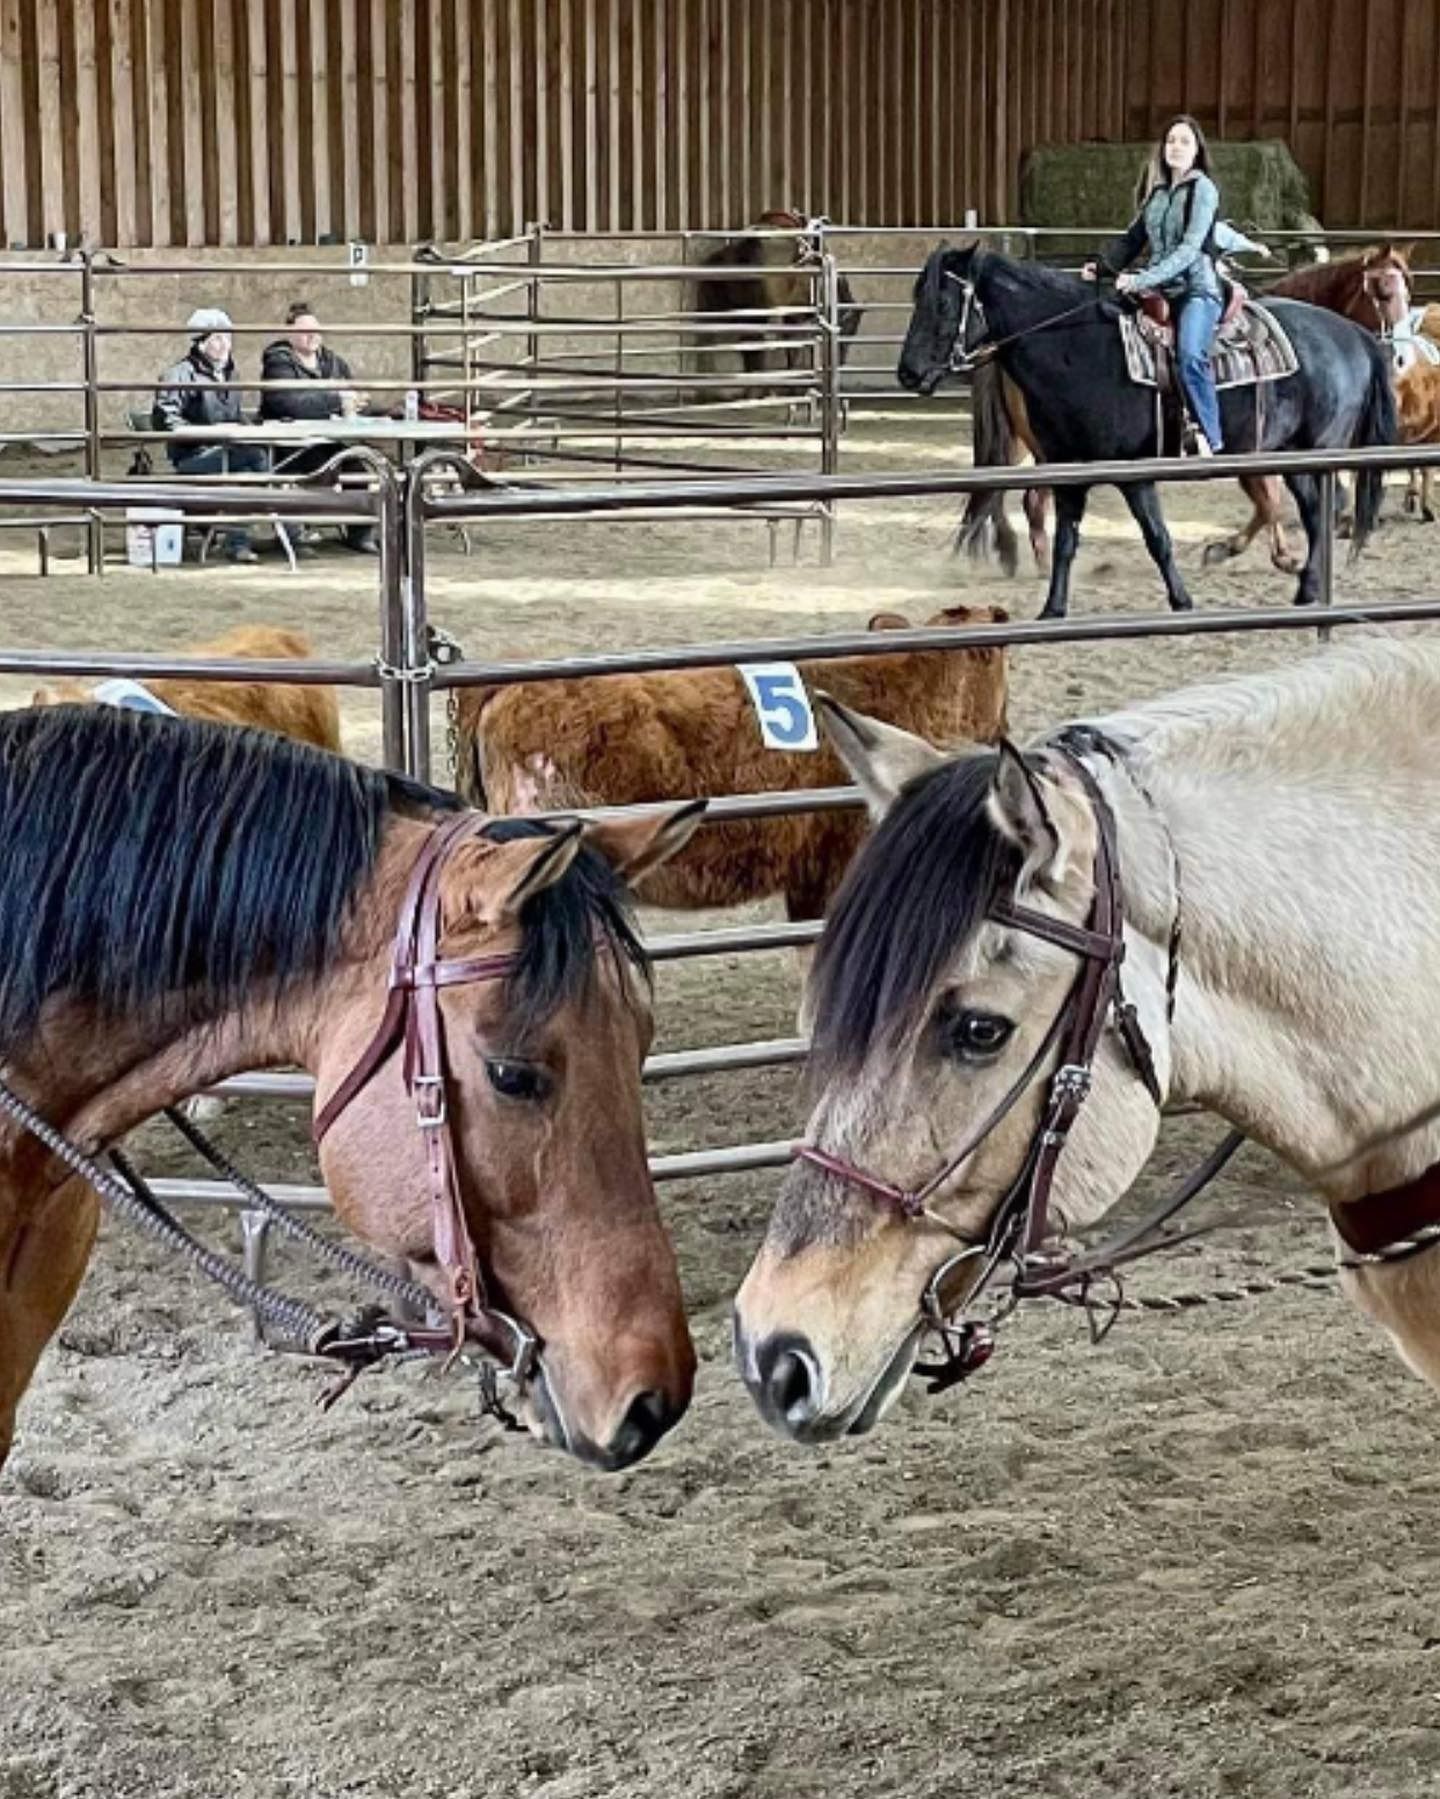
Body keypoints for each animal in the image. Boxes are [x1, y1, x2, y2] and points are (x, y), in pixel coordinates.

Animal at [906, 245, 1398, 614]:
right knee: (1316, 512)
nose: (908, 373)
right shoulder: (1069, 471)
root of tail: (1354, 335)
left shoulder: (1135, 472)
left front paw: (1184, 599)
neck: (1079, 347)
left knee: (1322, 511)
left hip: (1314, 452)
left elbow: (1159, 537)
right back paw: (1306, 588)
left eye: (943, 303)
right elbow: (1070, 541)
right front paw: (1052, 609)